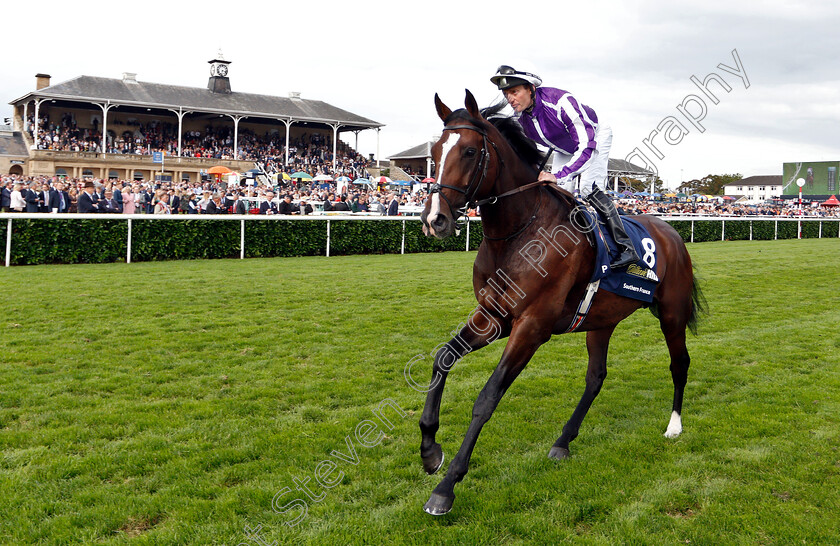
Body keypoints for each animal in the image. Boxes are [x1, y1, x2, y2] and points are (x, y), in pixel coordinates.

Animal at [418, 90, 704, 516]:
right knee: (596, 377)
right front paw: (429, 450)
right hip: (601, 320)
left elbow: (487, 397)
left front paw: (447, 487)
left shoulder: (532, 325)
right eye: (435, 151)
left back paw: (674, 426)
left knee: (679, 363)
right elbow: (443, 358)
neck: (519, 233)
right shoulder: (493, 317)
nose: (435, 220)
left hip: (671, 312)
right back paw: (563, 441)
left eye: (469, 151)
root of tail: (671, 231)